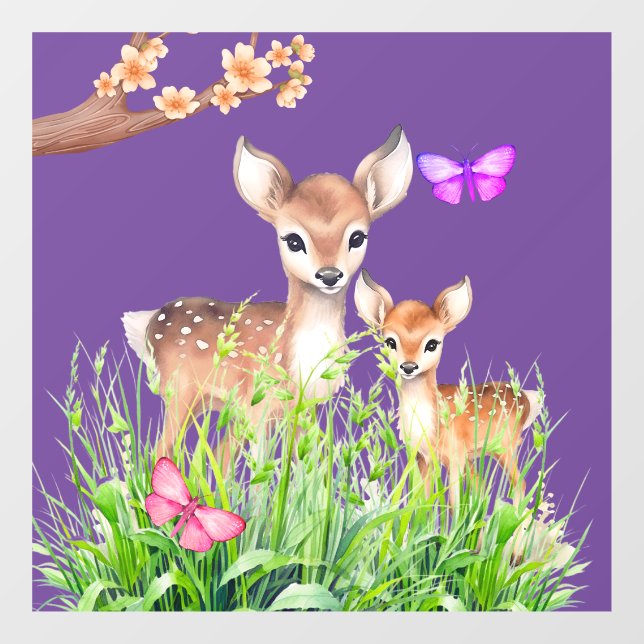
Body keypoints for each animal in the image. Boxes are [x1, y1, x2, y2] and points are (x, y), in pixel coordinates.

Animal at [122, 125, 413, 465]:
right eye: (293, 240)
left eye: (357, 237)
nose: (329, 275)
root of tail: (149, 321)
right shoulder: (257, 403)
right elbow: (262, 465)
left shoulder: (305, 409)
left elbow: (304, 463)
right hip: (181, 389)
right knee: (161, 450)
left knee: (211, 454)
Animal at [354, 270, 542, 508]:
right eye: (390, 342)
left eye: (432, 343)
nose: (408, 366)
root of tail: (526, 397)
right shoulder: (422, 457)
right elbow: (422, 501)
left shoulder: (454, 454)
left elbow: (453, 502)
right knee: (481, 486)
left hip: (504, 445)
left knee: (520, 484)